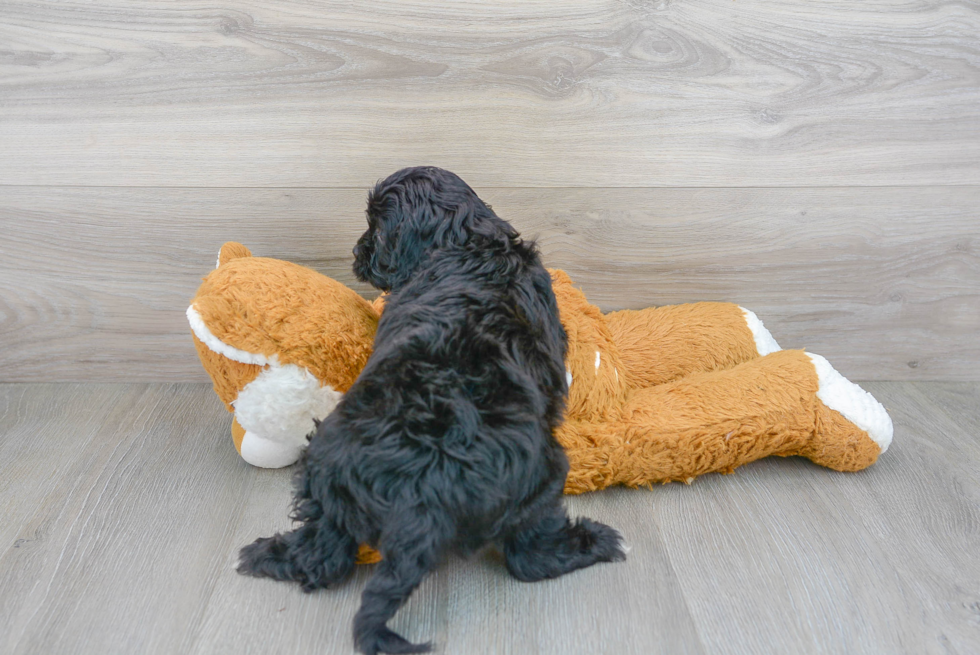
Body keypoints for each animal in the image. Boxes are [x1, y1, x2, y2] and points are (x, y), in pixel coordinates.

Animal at [237, 167, 624, 652]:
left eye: (377, 229)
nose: (357, 252)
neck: (467, 241)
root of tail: (421, 490)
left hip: (326, 467)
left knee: (322, 555)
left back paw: (263, 554)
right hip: (543, 475)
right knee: (528, 556)